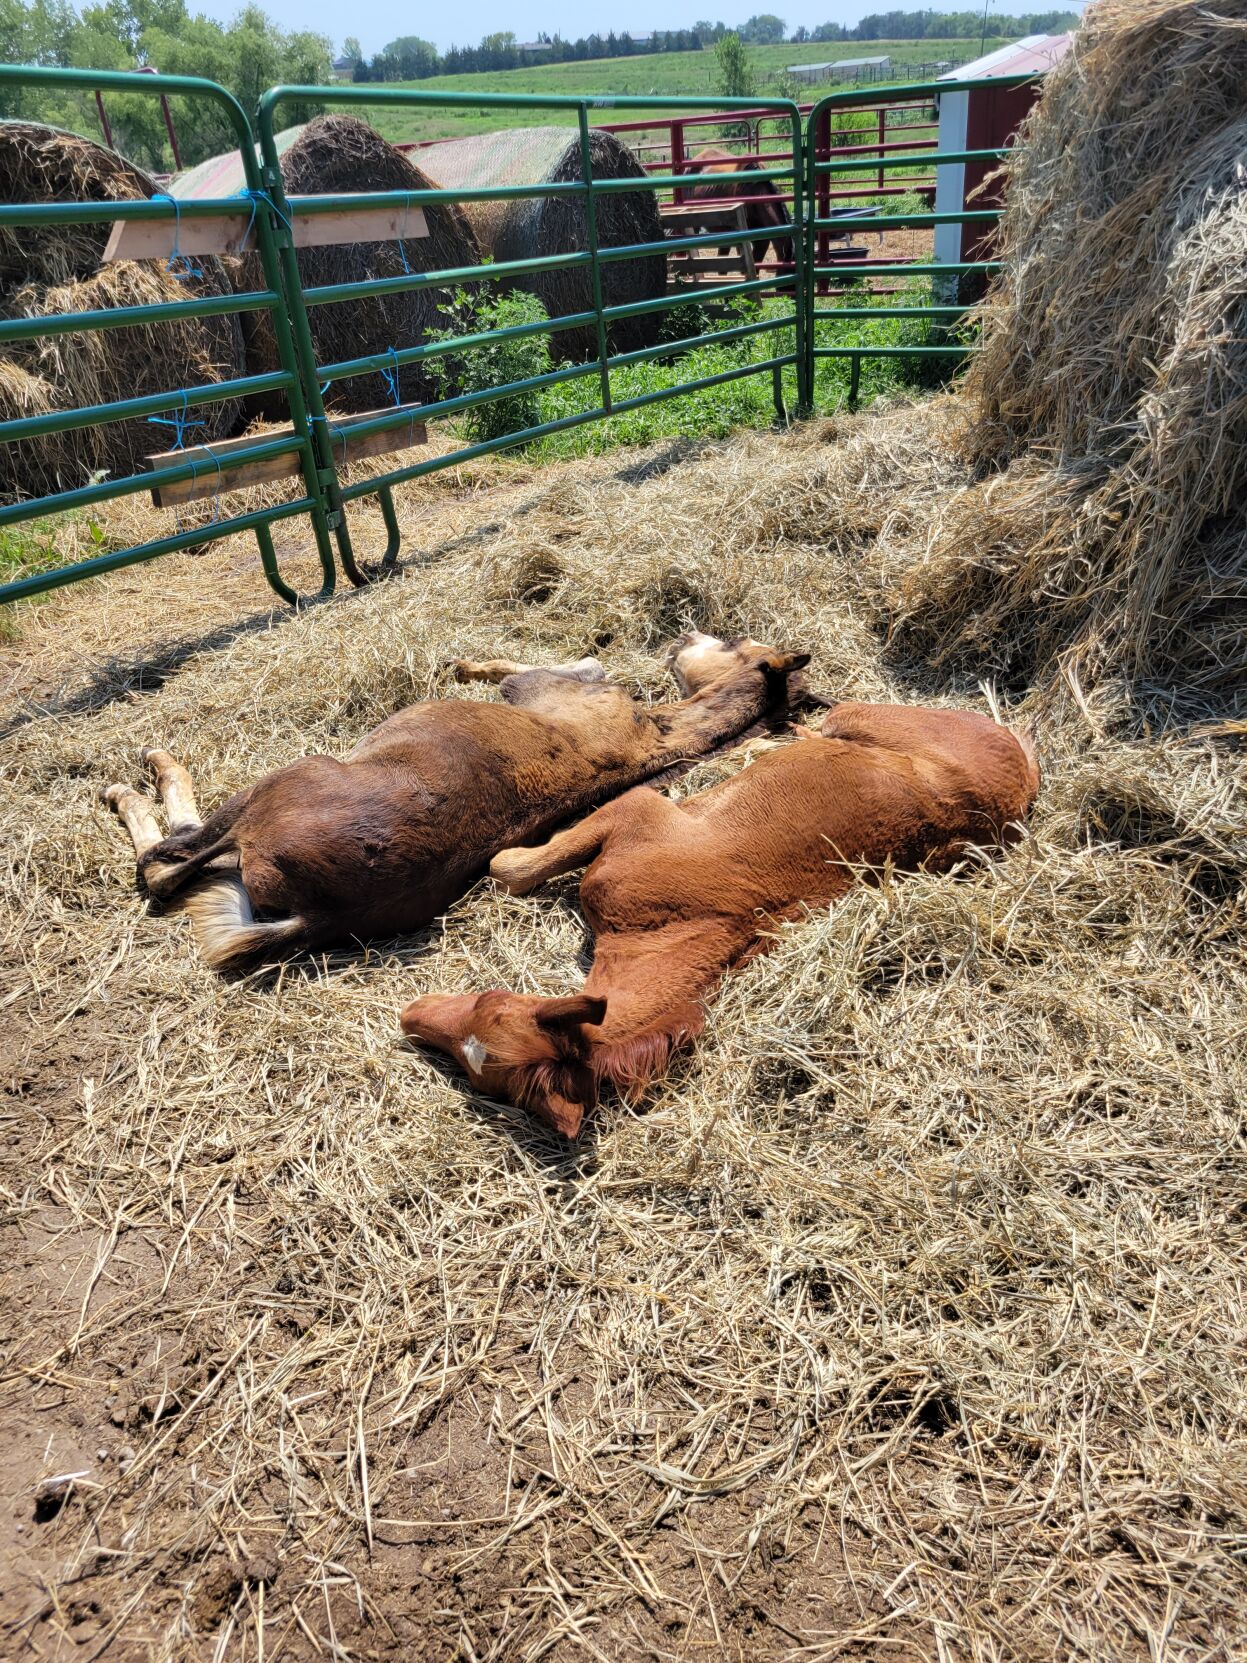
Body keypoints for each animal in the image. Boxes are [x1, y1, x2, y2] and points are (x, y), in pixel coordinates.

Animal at [102, 635, 814, 971]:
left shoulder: (547, 683)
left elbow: (566, 664)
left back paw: (138, 777)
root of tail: (320, 913)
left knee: (166, 866)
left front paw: (464, 665)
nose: (684, 637)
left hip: (278, 785)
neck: (655, 731)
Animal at [402, 695, 1044, 1137]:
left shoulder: (638, 813)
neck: (679, 925)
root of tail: (1020, 773)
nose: (409, 1016)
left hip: (862, 713)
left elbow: (509, 868)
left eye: (492, 1005)